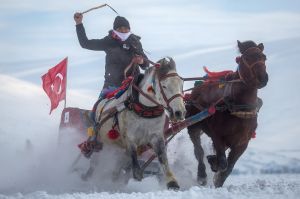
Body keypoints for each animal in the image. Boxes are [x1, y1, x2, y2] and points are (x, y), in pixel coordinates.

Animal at [82, 57, 185, 190]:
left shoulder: (157, 136)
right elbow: (135, 166)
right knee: (95, 161)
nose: (179, 112)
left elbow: (163, 158)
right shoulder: (130, 139)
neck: (145, 109)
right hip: (99, 140)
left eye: (181, 84)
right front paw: (136, 182)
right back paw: (88, 177)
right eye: (164, 85)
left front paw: (172, 182)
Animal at [186, 40, 268, 187]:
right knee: (198, 151)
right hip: (193, 125)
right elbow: (223, 163)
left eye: (264, 57)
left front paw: (218, 177)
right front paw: (214, 164)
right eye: (247, 58)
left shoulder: (242, 143)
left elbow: (229, 167)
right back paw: (202, 174)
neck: (240, 108)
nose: (263, 78)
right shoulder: (217, 135)